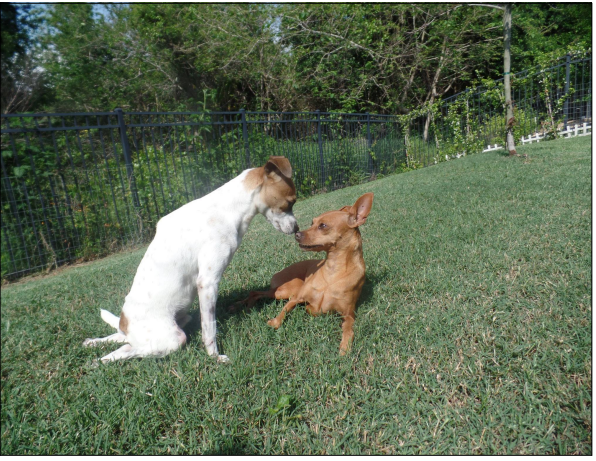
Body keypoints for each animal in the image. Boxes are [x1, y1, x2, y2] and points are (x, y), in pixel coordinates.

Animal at [84, 156, 298, 362]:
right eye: (290, 202)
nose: (297, 229)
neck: (228, 208)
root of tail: (125, 322)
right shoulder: (208, 283)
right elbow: (210, 328)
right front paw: (214, 356)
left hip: (177, 321)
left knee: (121, 341)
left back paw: (93, 343)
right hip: (173, 338)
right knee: (126, 350)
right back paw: (99, 359)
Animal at [233, 192, 372, 354]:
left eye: (323, 226)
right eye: (312, 222)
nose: (296, 234)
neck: (332, 271)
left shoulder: (348, 314)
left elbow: (348, 329)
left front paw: (345, 346)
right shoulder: (296, 298)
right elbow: (284, 311)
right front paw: (274, 322)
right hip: (288, 290)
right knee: (256, 292)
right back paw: (239, 305)